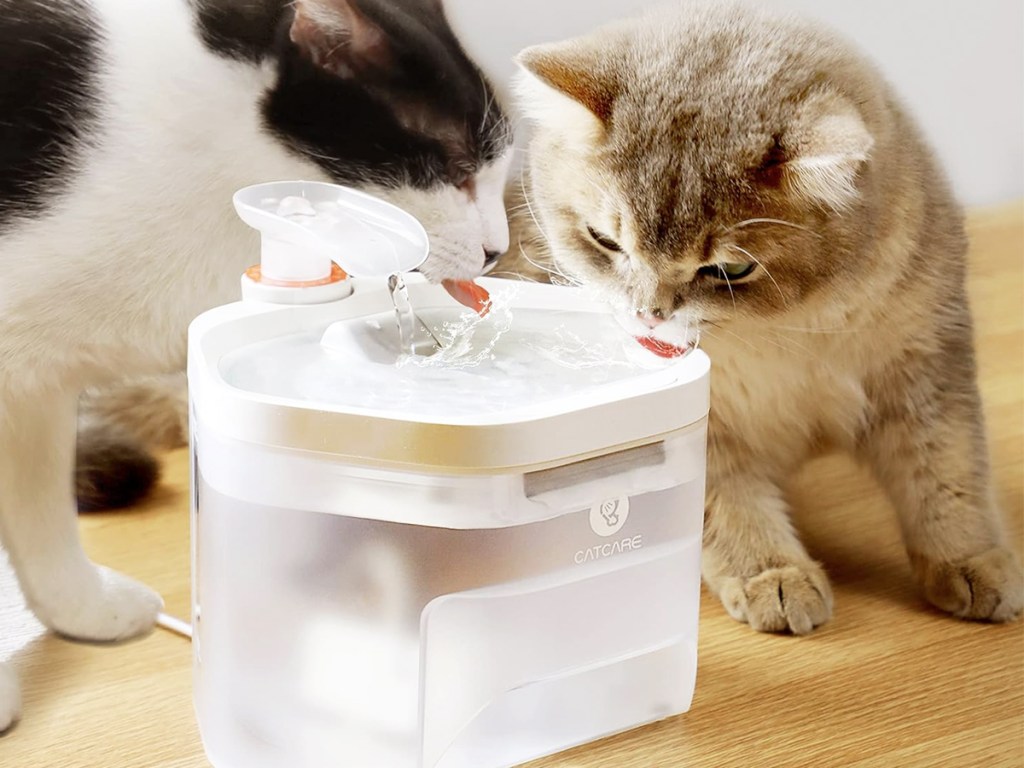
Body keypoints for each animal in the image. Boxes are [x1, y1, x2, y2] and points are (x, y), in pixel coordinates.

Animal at [505, 3, 1024, 634]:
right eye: (604, 241)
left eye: (729, 269)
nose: (648, 315)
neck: (792, 329)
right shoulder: (705, 430)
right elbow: (727, 504)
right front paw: (773, 573)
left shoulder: (926, 366)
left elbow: (946, 469)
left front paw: (972, 557)